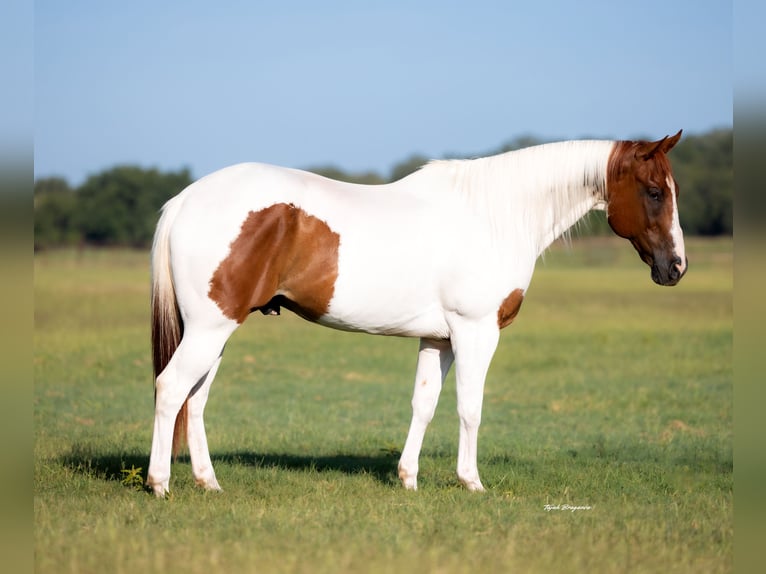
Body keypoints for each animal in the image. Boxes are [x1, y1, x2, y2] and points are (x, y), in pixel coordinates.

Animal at [146, 131, 687, 496]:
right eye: (655, 191)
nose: (676, 267)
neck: (494, 216)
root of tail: (187, 198)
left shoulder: (439, 338)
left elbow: (423, 404)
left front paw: (408, 479)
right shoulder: (475, 332)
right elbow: (470, 406)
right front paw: (472, 482)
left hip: (215, 331)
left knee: (195, 399)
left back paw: (208, 483)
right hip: (211, 328)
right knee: (172, 389)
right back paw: (159, 483)